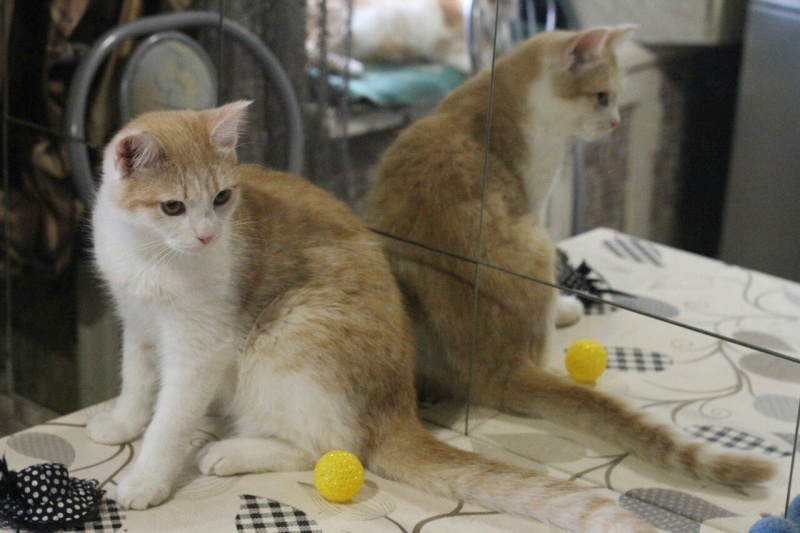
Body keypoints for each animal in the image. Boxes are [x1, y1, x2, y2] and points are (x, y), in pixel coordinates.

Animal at [88, 101, 658, 532]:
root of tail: (400, 408)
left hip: (284, 338)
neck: (149, 256)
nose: (207, 236)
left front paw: (146, 478)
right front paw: (122, 423)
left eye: (223, 197)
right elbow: (136, 380)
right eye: (173, 208)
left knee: (334, 447)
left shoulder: (201, 348)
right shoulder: (138, 323)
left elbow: (170, 418)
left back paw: (232, 452)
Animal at [363, 26, 778, 487]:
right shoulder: (537, 200)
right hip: (539, 244)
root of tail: (497, 365)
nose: (615, 122)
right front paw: (566, 305)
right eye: (602, 96)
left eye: (615, 99)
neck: (500, 93)